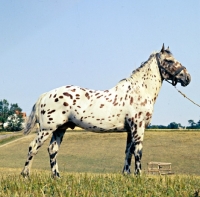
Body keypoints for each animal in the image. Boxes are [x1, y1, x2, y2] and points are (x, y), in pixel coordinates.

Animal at [21, 45, 191, 179]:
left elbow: (128, 152)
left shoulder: (130, 130)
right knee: (33, 148)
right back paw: (25, 175)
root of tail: (46, 95)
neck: (139, 90)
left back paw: (57, 177)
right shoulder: (138, 127)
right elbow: (138, 152)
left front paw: (126, 175)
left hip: (60, 129)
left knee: (52, 150)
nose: (187, 77)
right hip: (46, 129)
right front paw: (138, 176)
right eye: (169, 60)